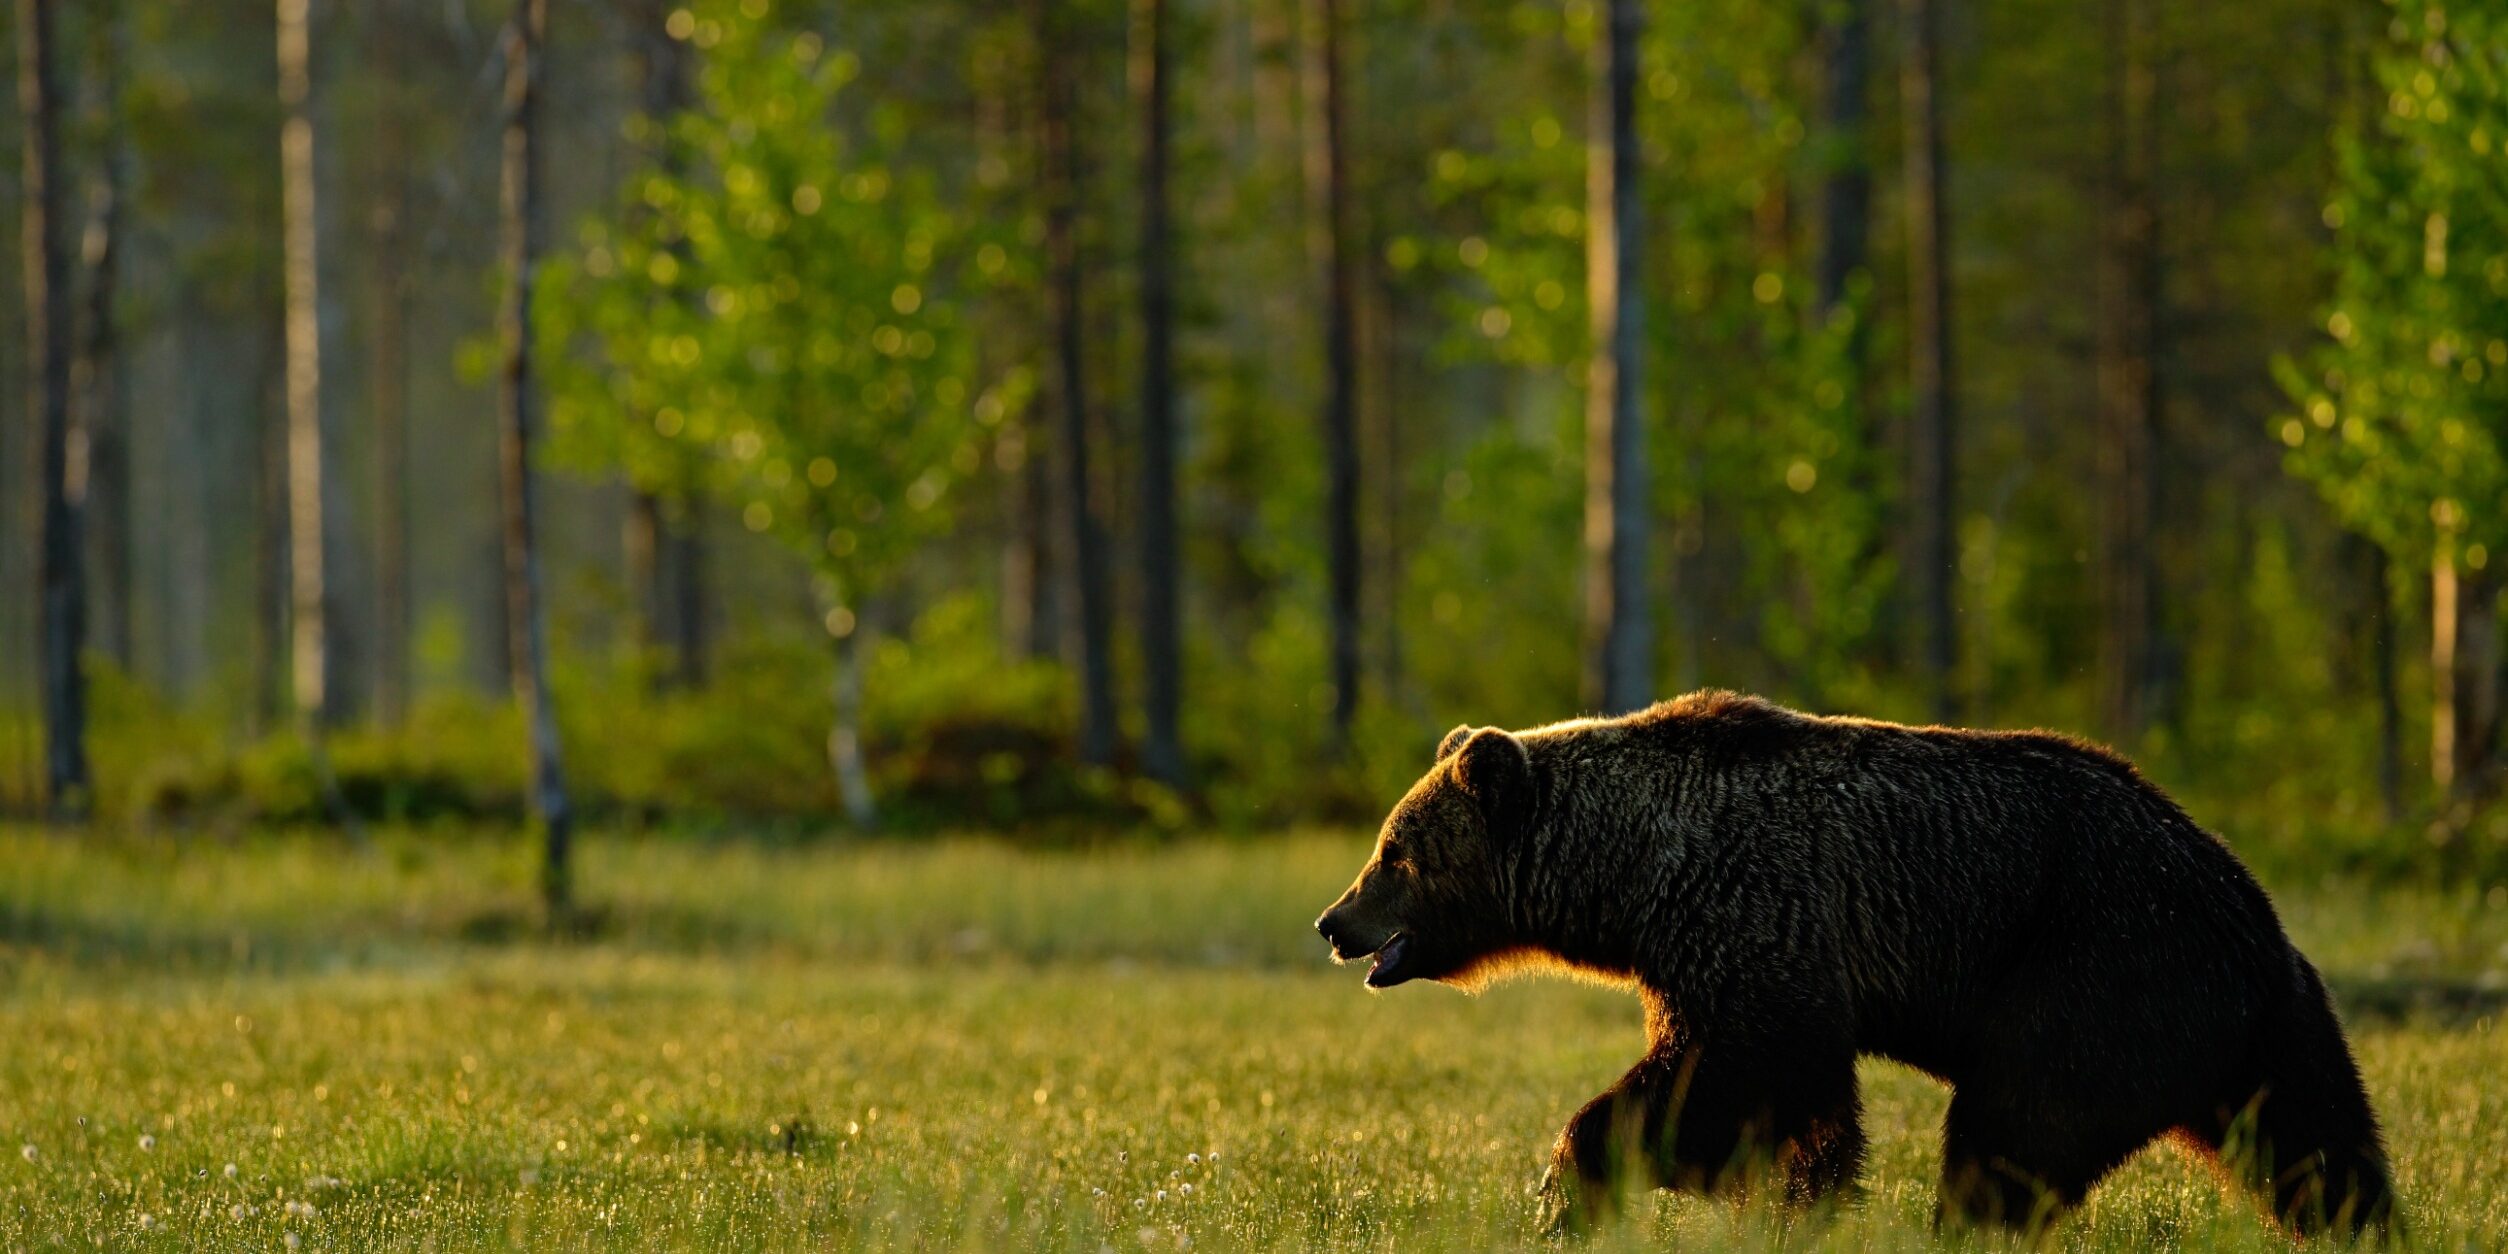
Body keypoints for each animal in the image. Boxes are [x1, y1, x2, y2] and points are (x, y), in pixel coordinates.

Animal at [1313, 690, 2393, 1239]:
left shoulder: (1752, 915)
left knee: (2013, 1130)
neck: (1632, 875)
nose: (1334, 921)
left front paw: (1580, 1178)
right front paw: (1804, 1194)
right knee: (2319, 1142)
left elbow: (1732, 1073)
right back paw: (2366, 1225)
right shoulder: (1727, 949)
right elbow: (1803, 1104)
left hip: (2097, 968)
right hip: (2257, 1023)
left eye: (1395, 850)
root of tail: (2244, 903)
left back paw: (1965, 1225)